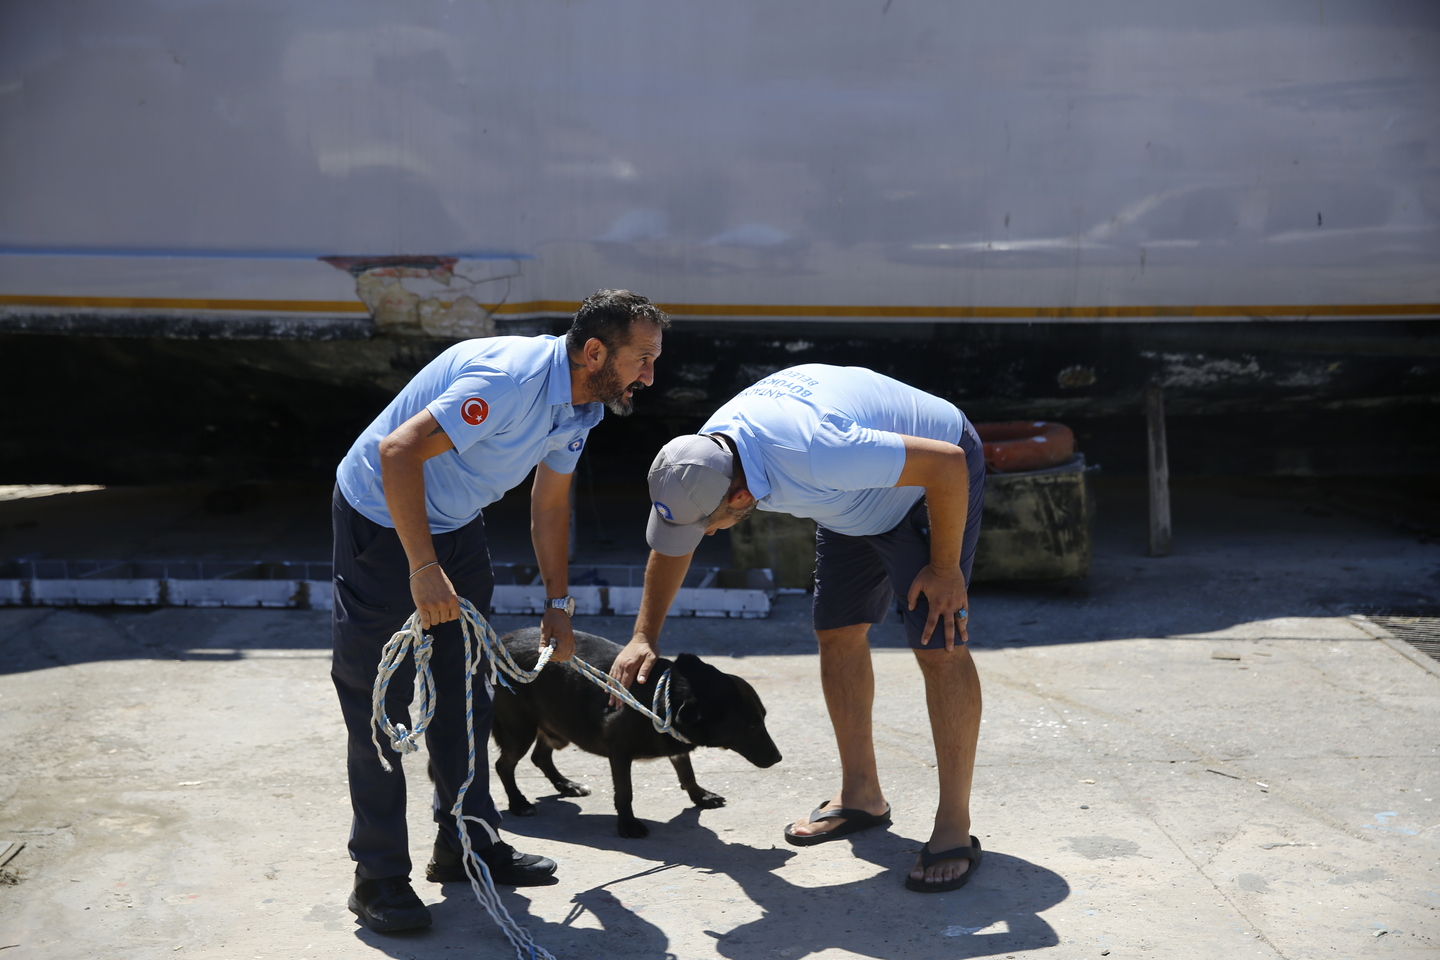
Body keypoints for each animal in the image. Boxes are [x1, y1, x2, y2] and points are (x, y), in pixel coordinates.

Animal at [495, 627, 789, 834]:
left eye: (762, 719)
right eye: (750, 725)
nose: (778, 758)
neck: (669, 700)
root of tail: (505, 641)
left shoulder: (676, 744)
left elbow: (687, 773)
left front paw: (700, 796)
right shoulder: (619, 752)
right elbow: (625, 792)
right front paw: (627, 824)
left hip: (557, 724)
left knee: (540, 757)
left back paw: (566, 785)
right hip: (520, 728)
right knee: (503, 765)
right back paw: (519, 803)